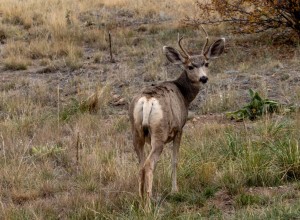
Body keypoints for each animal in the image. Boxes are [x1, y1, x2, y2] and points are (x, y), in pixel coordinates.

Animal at [129, 27, 225, 206]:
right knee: (149, 165)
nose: (204, 78)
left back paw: (140, 199)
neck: (183, 94)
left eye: (206, 63)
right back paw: (149, 202)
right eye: (190, 66)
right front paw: (175, 190)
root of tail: (147, 100)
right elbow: (175, 160)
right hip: (159, 132)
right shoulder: (180, 128)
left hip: (136, 132)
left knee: (140, 164)